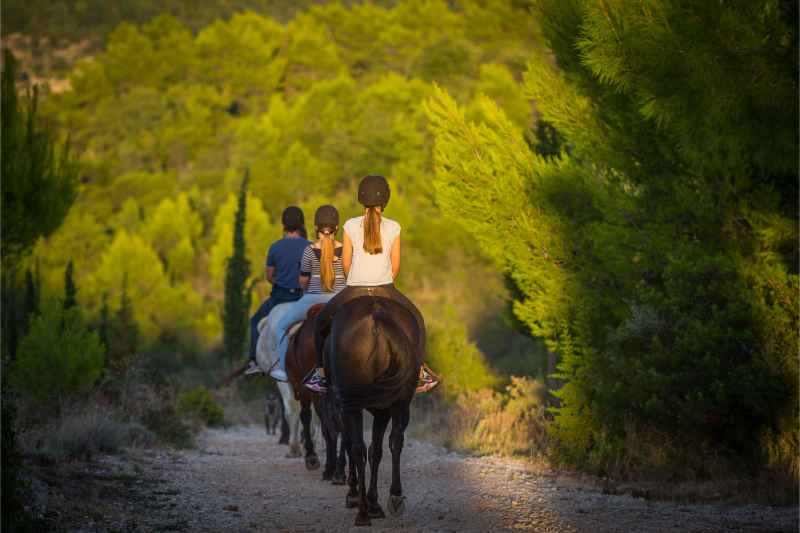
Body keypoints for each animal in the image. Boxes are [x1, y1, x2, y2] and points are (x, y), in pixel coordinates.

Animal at [324, 298, 418, 524]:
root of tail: (378, 315)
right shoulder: (382, 411)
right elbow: (376, 450)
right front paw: (374, 502)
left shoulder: (343, 407)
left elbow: (352, 445)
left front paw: (355, 496)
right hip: (400, 401)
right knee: (395, 441)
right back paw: (394, 498)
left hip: (351, 403)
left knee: (357, 447)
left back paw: (362, 511)